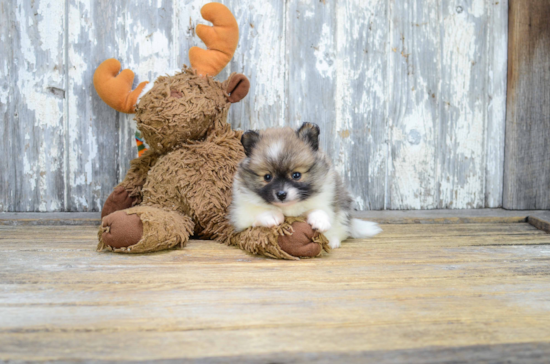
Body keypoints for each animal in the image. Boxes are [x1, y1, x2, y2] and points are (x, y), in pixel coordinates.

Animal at [231, 121, 382, 247]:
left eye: (296, 175)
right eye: (267, 177)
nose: (281, 194)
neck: (288, 208)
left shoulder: (325, 197)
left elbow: (318, 209)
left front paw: (320, 220)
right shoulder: (240, 216)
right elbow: (258, 211)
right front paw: (271, 215)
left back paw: (332, 241)